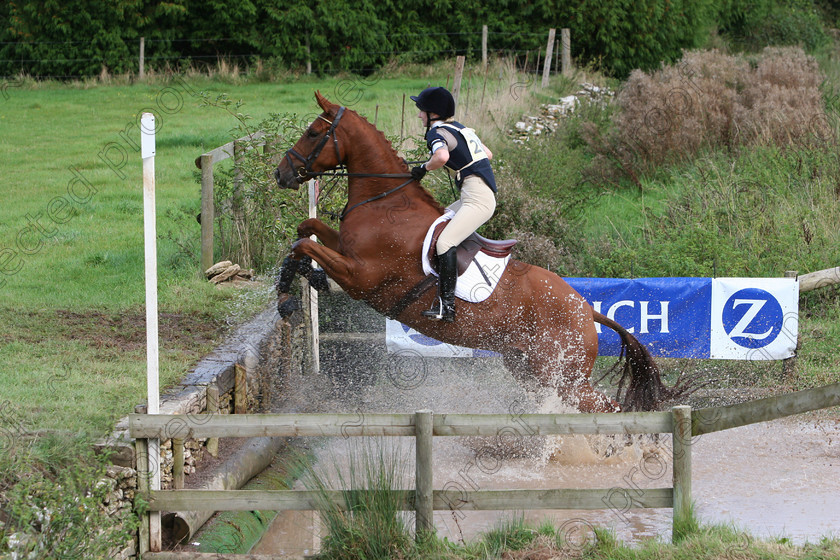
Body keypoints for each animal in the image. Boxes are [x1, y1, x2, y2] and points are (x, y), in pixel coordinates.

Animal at [272, 92, 672, 414]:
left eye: (312, 133)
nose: (281, 174)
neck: (385, 199)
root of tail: (587, 310)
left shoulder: (363, 276)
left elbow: (304, 243)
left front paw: (289, 295)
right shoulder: (346, 251)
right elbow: (306, 230)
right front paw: (302, 282)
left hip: (564, 378)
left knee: (608, 409)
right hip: (528, 368)